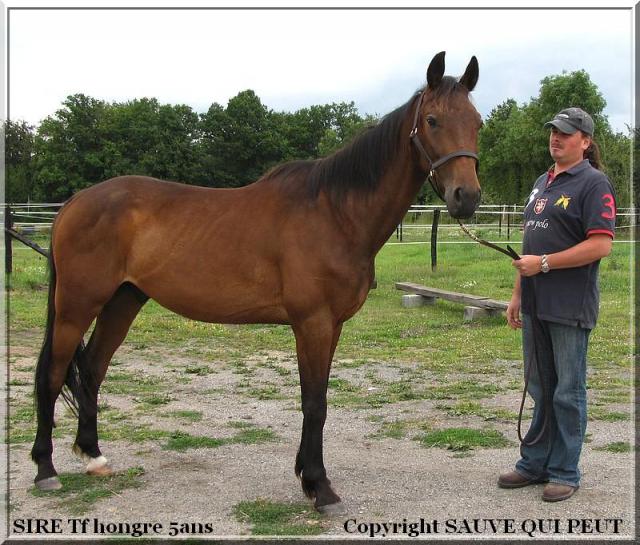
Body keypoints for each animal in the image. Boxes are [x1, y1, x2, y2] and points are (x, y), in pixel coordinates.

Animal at [28, 49, 480, 512]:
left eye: (478, 122)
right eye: (432, 121)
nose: (467, 197)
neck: (335, 213)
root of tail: (75, 202)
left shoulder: (331, 326)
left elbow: (317, 399)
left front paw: (306, 474)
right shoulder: (312, 323)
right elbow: (314, 403)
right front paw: (320, 487)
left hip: (123, 300)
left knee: (91, 370)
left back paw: (94, 456)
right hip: (76, 306)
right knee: (52, 375)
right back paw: (46, 470)